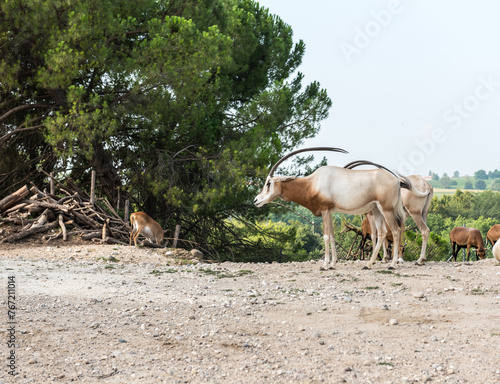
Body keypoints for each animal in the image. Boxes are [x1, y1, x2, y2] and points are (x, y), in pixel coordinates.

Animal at [254, 147, 426, 270]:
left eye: (268, 183)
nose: (256, 200)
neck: (312, 183)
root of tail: (396, 180)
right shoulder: (329, 211)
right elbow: (332, 235)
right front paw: (333, 264)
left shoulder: (324, 210)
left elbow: (326, 236)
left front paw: (325, 265)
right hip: (377, 210)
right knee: (382, 233)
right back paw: (368, 264)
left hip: (387, 209)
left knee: (395, 231)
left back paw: (392, 264)